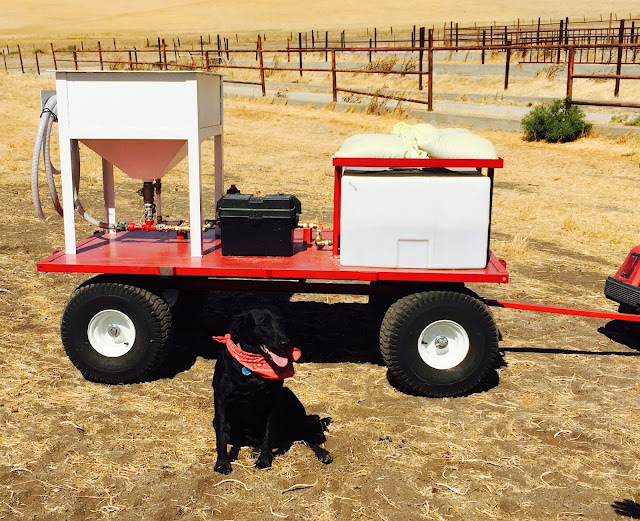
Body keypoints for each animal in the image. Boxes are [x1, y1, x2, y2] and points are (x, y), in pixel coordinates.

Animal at [212, 306, 332, 474]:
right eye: (264, 324)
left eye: (282, 323)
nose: (285, 342)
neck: (251, 368)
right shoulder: (221, 400)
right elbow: (221, 435)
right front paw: (222, 463)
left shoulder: (275, 401)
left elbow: (269, 434)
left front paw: (264, 460)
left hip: (289, 399)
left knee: (299, 435)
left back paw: (322, 452)